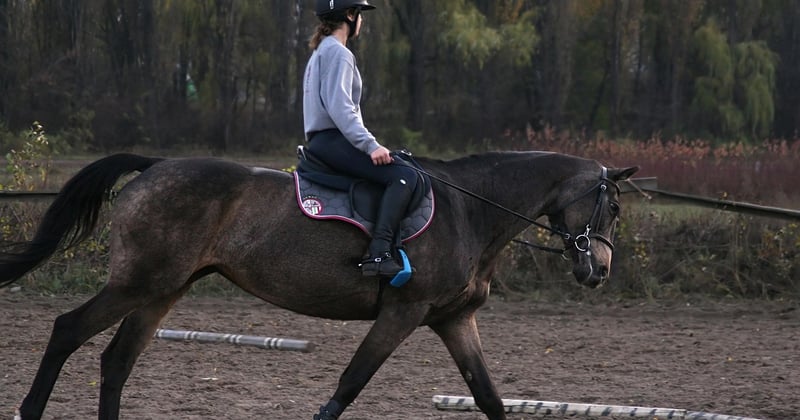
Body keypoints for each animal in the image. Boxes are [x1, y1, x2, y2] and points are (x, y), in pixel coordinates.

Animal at [0, 151, 638, 420]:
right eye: (610, 208)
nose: (600, 271)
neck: (471, 212)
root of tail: (154, 166)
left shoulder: (453, 319)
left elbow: (489, 397)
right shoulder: (403, 314)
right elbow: (350, 384)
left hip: (165, 290)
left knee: (116, 360)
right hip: (140, 283)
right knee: (67, 331)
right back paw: (30, 411)